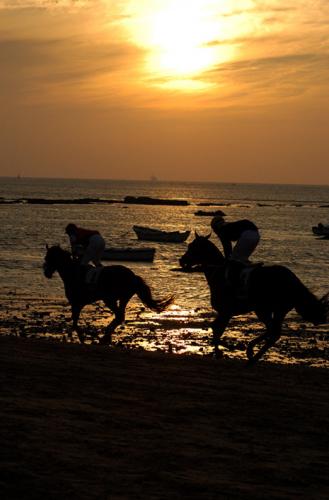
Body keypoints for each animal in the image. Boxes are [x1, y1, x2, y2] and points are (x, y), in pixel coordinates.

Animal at [43, 246, 174, 344]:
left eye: (49, 258)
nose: (46, 273)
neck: (73, 273)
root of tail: (133, 276)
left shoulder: (76, 303)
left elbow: (75, 322)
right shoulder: (78, 304)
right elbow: (75, 322)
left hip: (110, 299)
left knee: (119, 316)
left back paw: (105, 334)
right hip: (121, 299)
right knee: (120, 316)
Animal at [181, 234, 326, 364]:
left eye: (192, 247)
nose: (181, 260)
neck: (218, 272)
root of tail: (293, 280)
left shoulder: (226, 311)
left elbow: (217, 330)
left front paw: (223, 350)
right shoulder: (226, 313)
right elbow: (216, 329)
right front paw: (222, 350)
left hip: (264, 309)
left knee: (273, 331)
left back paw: (252, 353)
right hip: (276, 310)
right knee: (274, 332)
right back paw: (253, 353)